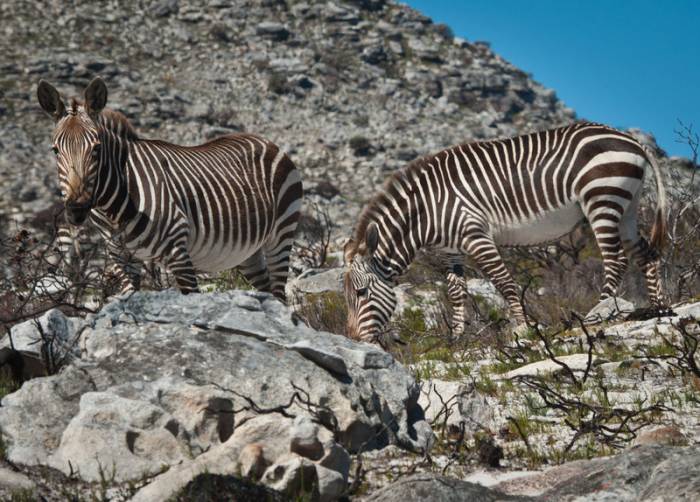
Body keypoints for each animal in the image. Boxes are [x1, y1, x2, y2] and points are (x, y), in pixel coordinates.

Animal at [37, 77, 303, 301]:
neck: (114, 209)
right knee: (267, 290)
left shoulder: (179, 253)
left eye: (97, 149)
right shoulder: (121, 258)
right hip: (249, 252)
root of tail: (266, 140)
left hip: (281, 233)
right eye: (55, 150)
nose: (76, 209)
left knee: (279, 292)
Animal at [343, 122, 667, 343]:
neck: (427, 209)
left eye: (361, 293)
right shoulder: (451, 250)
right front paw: (457, 339)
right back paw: (658, 309)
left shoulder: (476, 236)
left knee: (616, 260)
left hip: (602, 200)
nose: (354, 341)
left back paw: (598, 313)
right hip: (627, 208)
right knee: (647, 256)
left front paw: (522, 327)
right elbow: (456, 294)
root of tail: (632, 140)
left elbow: (505, 283)